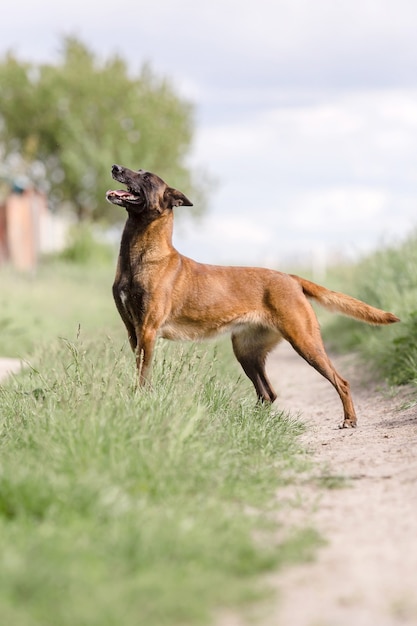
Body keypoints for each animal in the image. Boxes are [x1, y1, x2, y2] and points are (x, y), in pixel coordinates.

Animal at [105, 163, 398, 426]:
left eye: (145, 176)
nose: (115, 167)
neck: (141, 256)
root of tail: (291, 278)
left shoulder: (148, 330)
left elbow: (143, 374)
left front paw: (140, 401)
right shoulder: (134, 331)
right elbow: (140, 369)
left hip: (304, 341)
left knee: (340, 382)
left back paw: (349, 419)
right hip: (246, 350)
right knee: (267, 393)